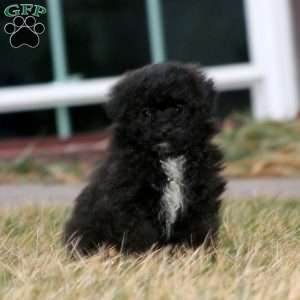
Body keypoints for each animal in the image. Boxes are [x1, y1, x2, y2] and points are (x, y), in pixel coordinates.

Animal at [63, 62, 225, 255]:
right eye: (145, 113)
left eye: (179, 108)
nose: (164, 128)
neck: (168, 158)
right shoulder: (130, 202)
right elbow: (139, 233)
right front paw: (144, 257)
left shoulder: (201, 197)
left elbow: (200, 228)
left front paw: (200, 254)